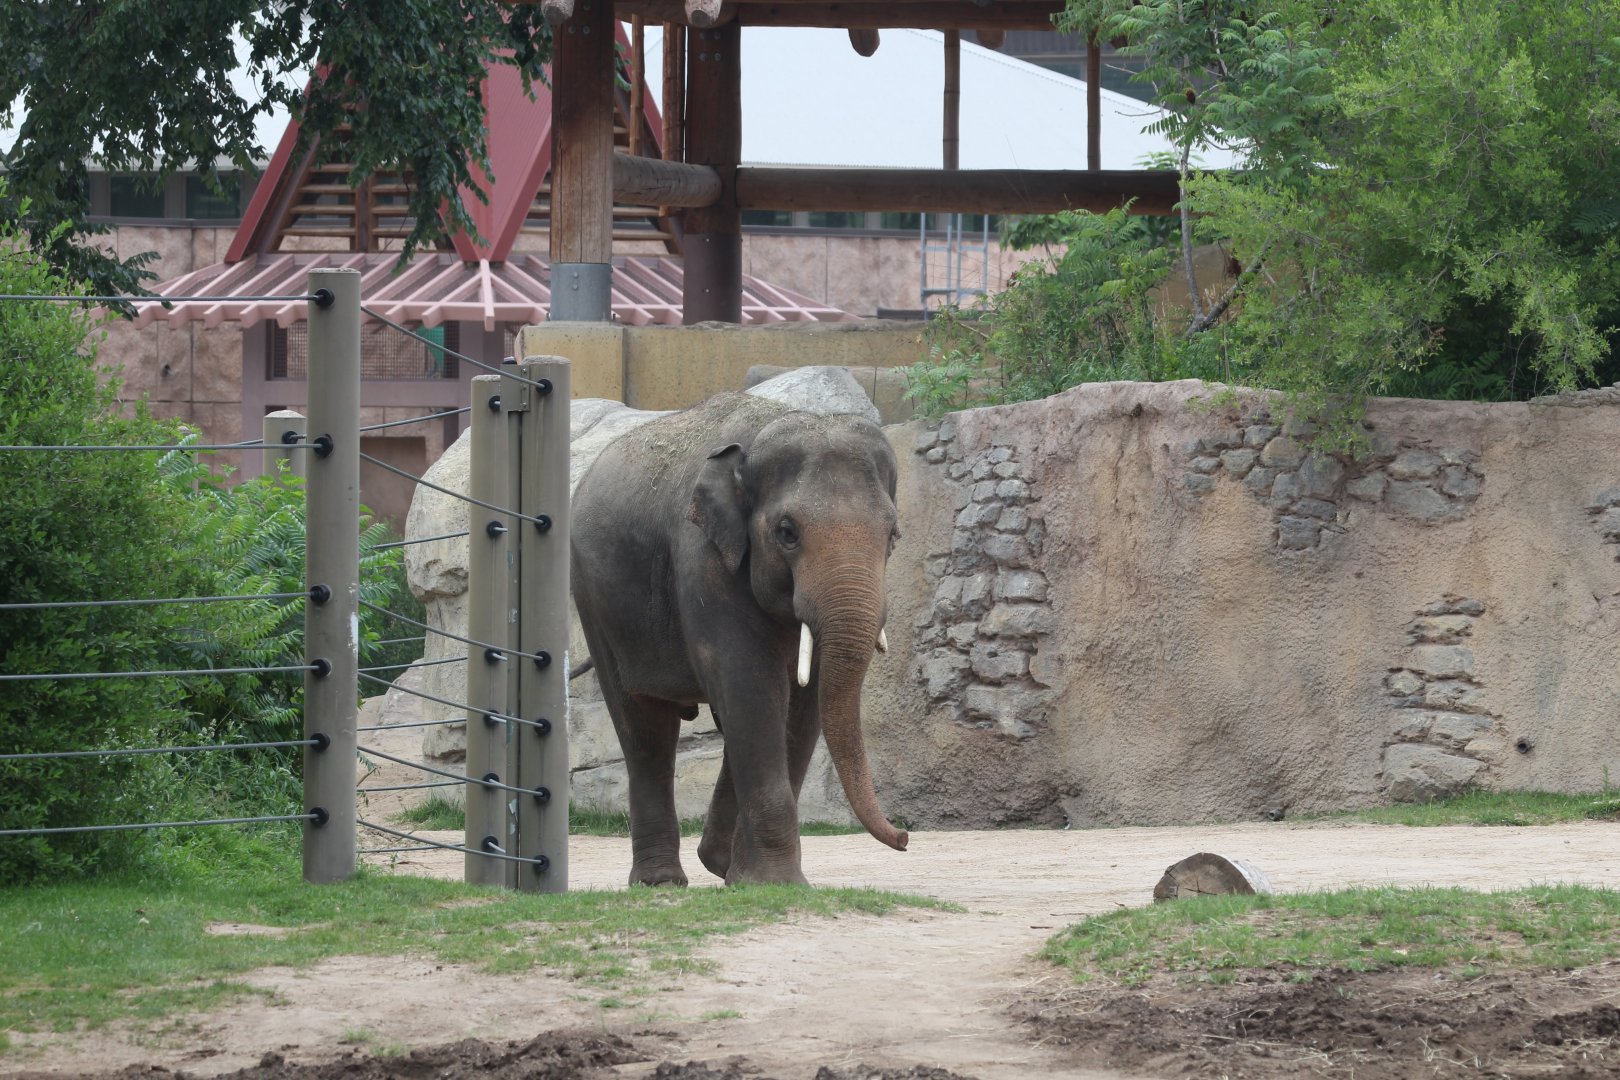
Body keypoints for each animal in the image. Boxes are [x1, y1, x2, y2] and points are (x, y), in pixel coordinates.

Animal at [571, 391, 908, 886]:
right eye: (787, 533)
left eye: (893, 535)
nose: (904, 838)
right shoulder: (703, 561)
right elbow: (750, 688)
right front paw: (779, 884)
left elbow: (800, 706)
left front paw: (748, 878)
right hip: (595, 604)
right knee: (645, 731)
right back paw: (661, 882)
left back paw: (717, 863)